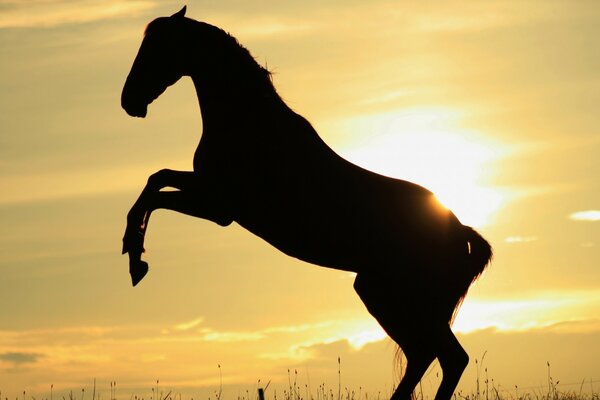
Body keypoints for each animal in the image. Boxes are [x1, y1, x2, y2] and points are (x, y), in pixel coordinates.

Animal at [122, 7, 492, 400]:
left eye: (157, 48)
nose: (129, 101)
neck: (249, 123)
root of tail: (461, 232)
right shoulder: (208, 191)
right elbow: (156, 181)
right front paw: (135, 257)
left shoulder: (219, 207)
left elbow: (155, 194)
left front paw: (135, 258)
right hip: (386, 295)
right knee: (427, 354)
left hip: (400, 298)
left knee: (445, 356)